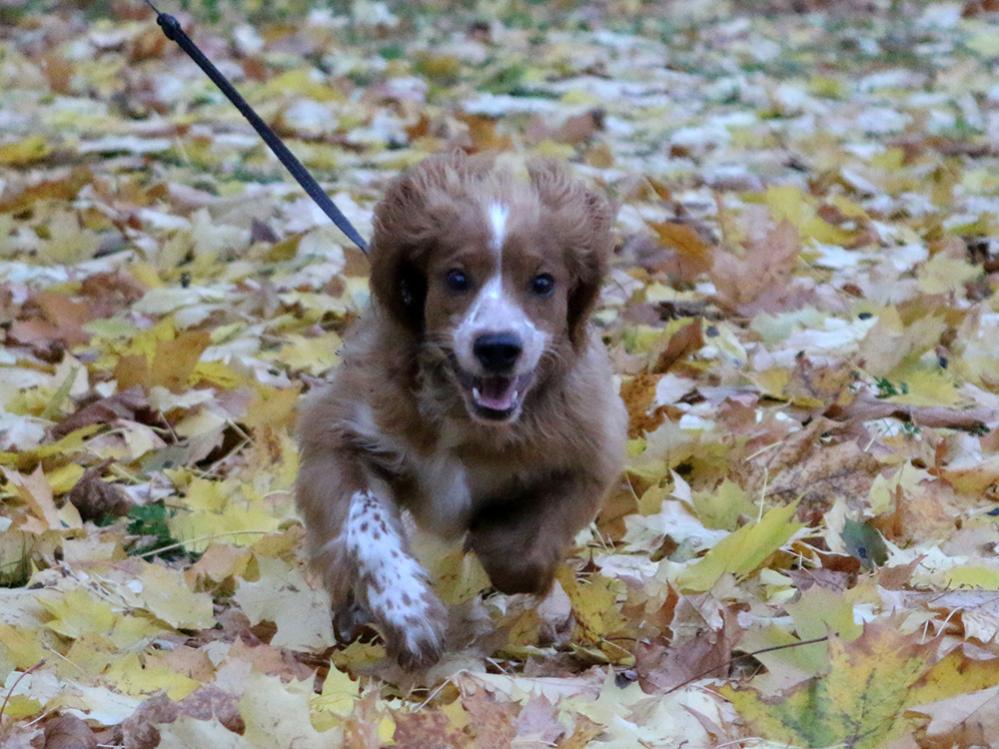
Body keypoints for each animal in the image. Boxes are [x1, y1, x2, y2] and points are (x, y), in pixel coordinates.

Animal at [295, 151, 627, 669]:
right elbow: (364, 525)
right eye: (456, 278)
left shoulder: (588, 450)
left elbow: (522, 554)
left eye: (543, 283)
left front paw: (497, 548)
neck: (466, 416)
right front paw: (410, 616)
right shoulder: (339, 430)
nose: (498, 347)